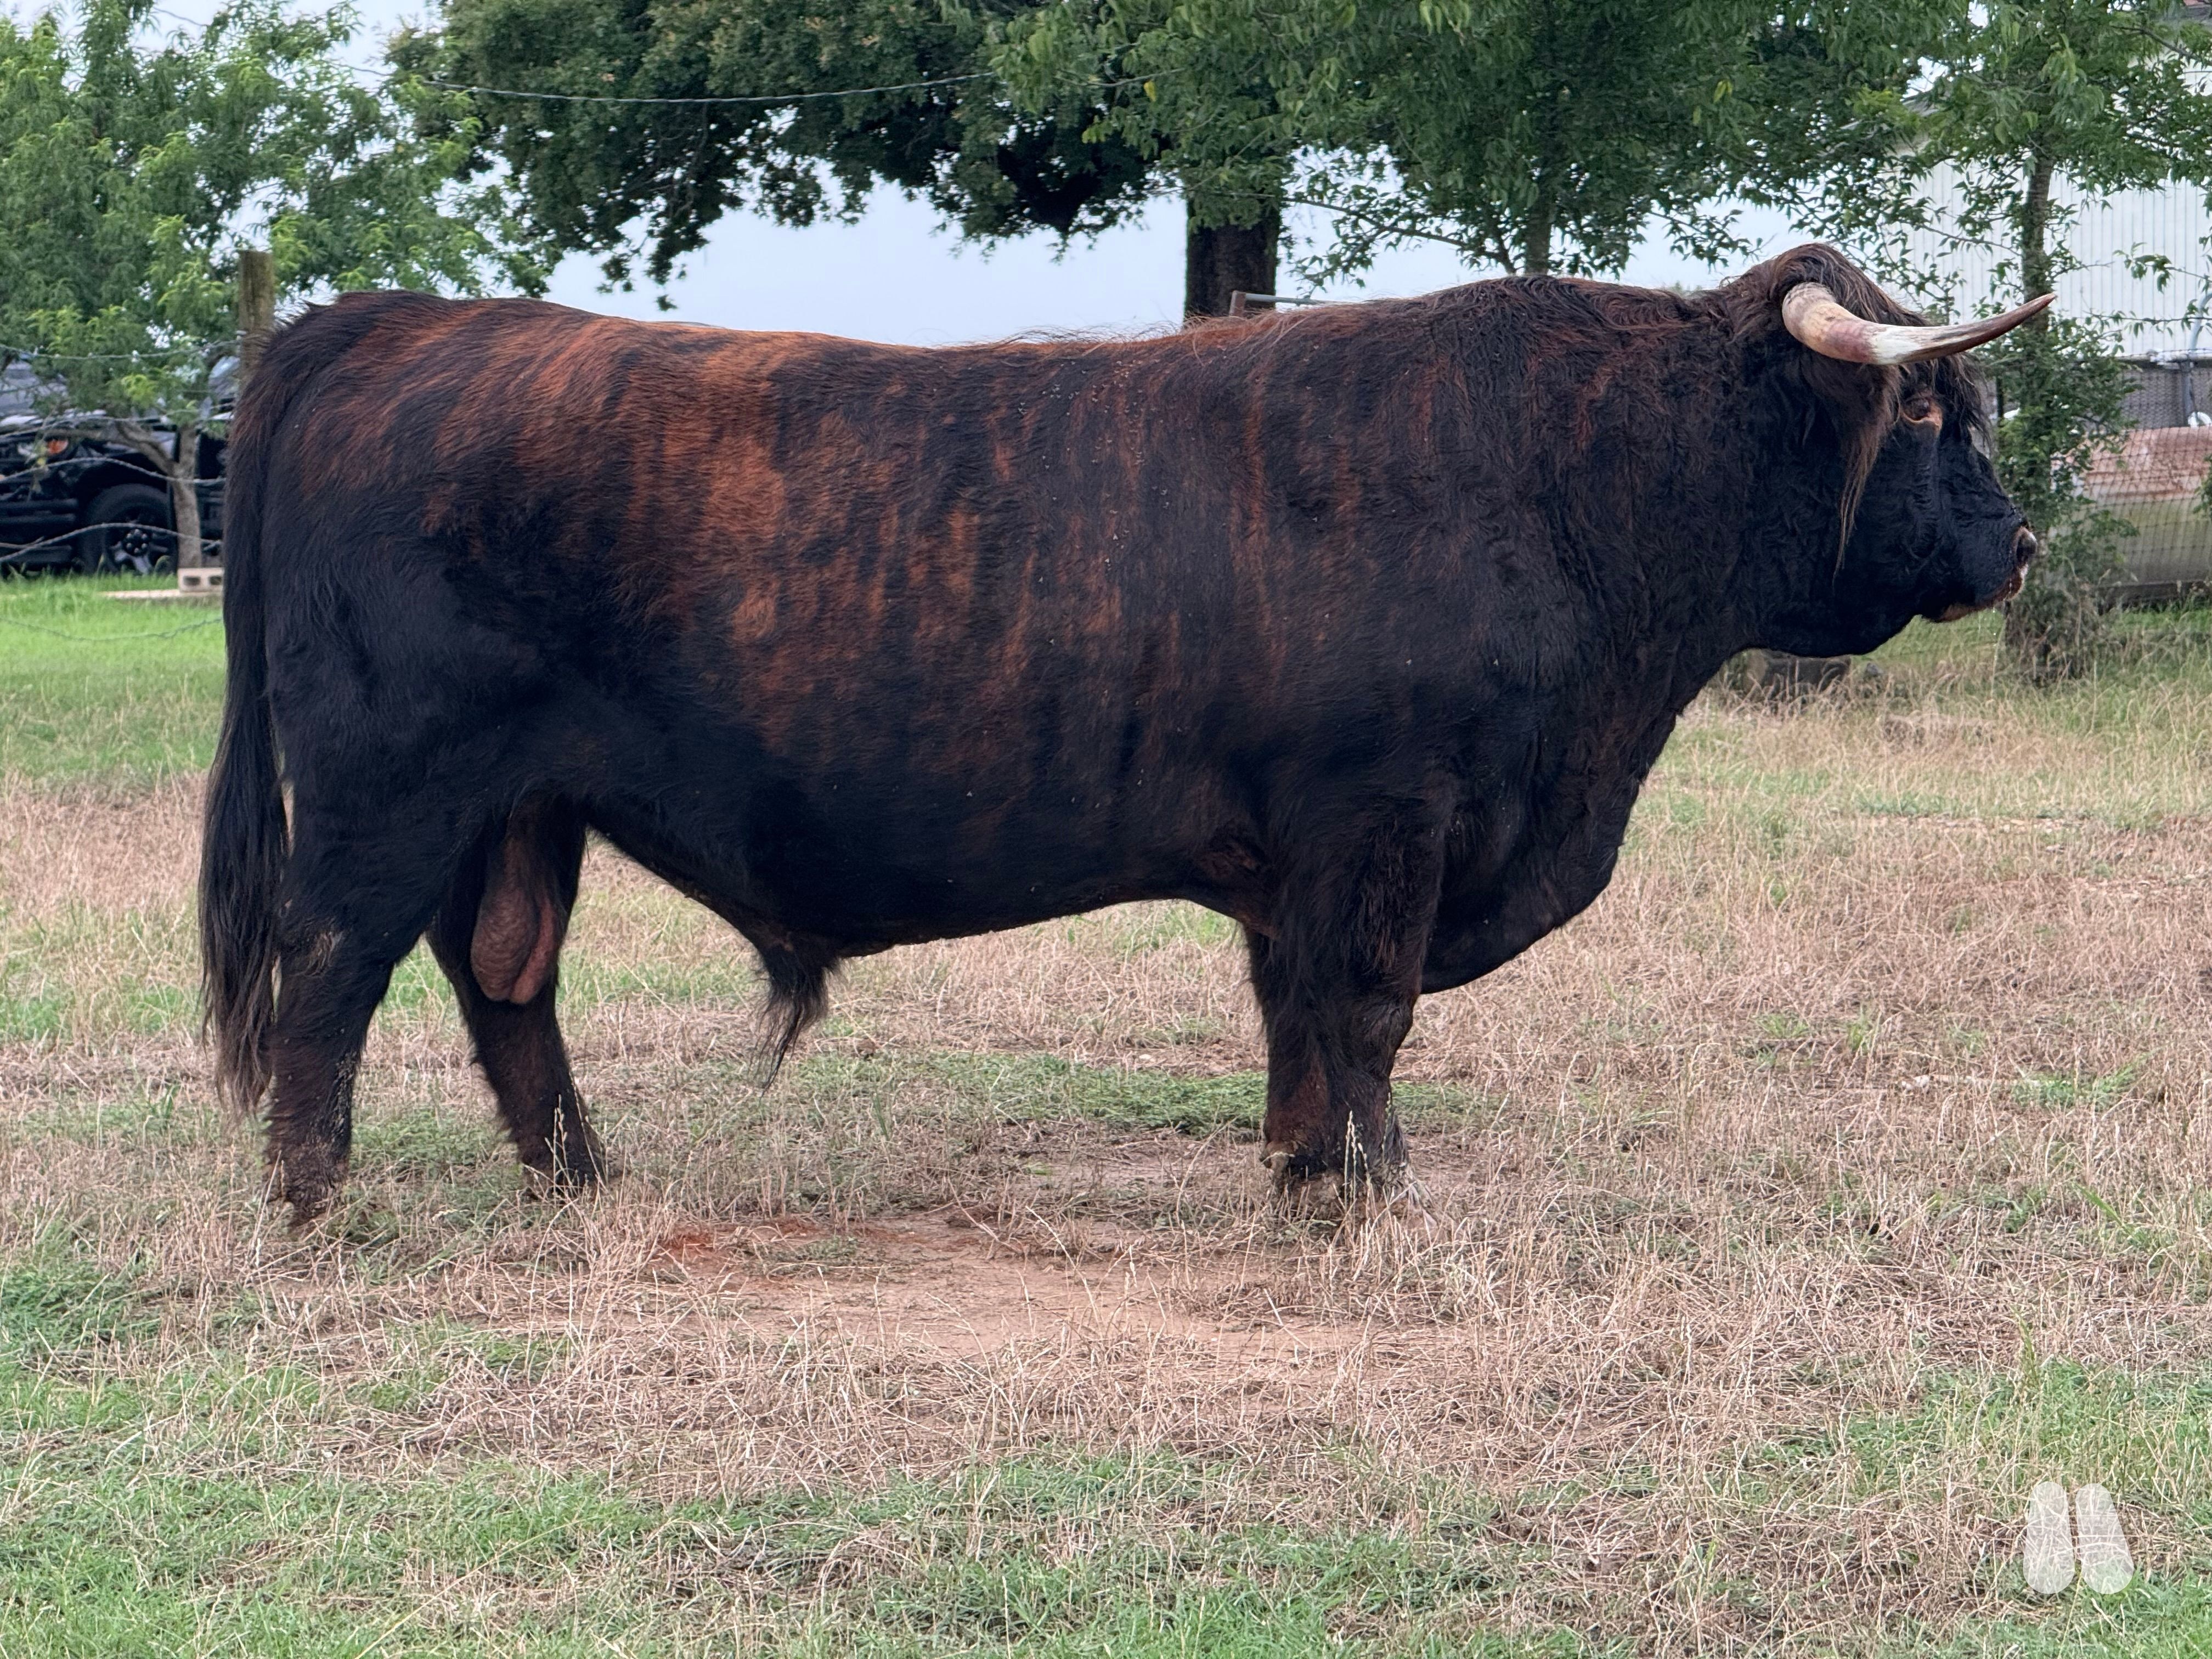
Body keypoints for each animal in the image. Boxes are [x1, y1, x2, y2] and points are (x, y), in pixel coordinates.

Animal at [199, 244, 2048, 1221]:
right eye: (1935, 413)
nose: (2021, 545)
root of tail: (407, 320)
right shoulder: (1388, 824)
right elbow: (1365, 1012)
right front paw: (1376, 1193)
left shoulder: (1311, 855)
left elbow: (1297, 1015)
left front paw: (1305, 1176)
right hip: (385, 788)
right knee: (332, 973)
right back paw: (316, 1205)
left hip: (518, 805)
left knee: (503, 979)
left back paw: (581, 1180)